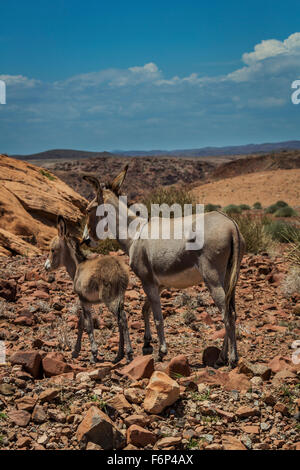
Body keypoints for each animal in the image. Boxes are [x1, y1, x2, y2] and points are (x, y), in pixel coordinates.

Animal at [44, 216, 132, 364]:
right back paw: (119, 355)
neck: (78, 266)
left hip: (110, 299)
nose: (46, 267)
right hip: (119, 297)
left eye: (52, 250)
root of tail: (119, 269)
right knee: (120, 319)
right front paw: (75, 351)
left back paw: (129, 354)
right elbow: (81, 323)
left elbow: (88, 325)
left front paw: (93, 354)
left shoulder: (83, 300)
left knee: (123, 319)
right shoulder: (86, 301)